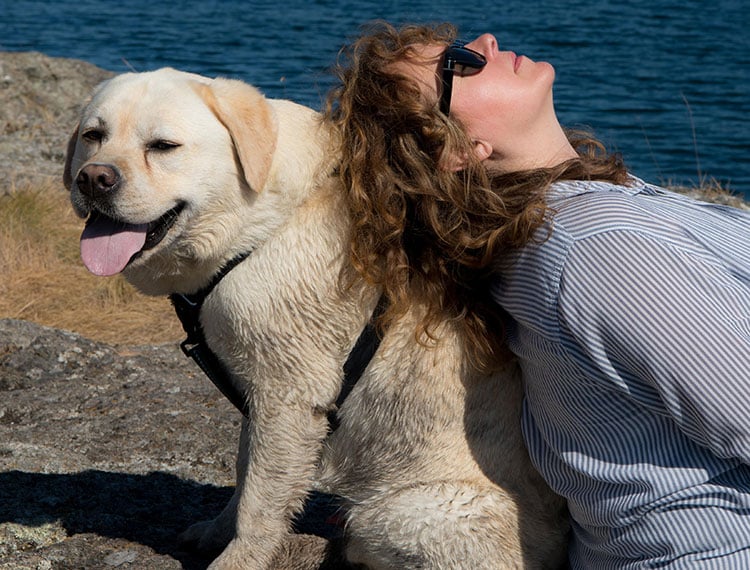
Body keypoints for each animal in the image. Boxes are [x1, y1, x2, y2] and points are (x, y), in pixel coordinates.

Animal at [64, 69, 568, 564]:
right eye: (93, 135)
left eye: (163, 146)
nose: (93, 179)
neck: (260, 223)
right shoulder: (260, 388)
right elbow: (246, 471)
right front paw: (218, 531)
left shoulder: (290, 396)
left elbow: (261, 501)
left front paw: (239, 558)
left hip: (399, 512)